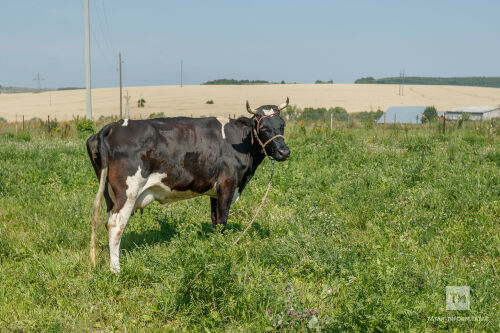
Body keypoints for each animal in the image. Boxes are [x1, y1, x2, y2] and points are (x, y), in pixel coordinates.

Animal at [86, 96, 290, 272]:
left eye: (282, 125)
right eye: (263, 127)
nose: (284, 152)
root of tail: (112, 127)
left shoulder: (214, 191)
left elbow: (215, 222)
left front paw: (215, 248)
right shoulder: (227, 185)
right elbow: (222, 221)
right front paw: (223, 251)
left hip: (109, 193)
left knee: (107, 222)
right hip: (128, 192)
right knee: (116, 226)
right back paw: (116, 269)